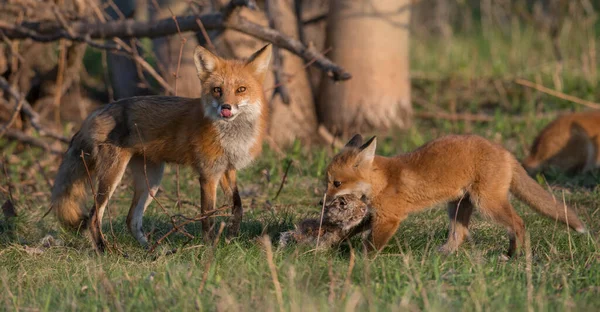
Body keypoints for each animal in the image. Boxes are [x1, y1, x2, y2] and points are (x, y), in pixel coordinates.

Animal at [50, 44, 274, 251]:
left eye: (241, 89)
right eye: (217, 90)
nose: (225, 107)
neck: (231, 136)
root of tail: (96, 112)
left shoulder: (227, 169)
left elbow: (238, 207)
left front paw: (231, 238)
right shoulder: (208, 174)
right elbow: (207, 216)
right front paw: (210, 248)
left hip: (151, 181)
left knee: (131, 219)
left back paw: (150, 251)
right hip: (112, 176)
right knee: (93, 217)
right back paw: (104, 250)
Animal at [324, 134, 584, 256]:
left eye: (336, 183)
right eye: (326, 182)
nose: (321, 201)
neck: (382, 181)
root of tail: (504, 151)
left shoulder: (389, 218)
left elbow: (371, 246)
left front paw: (360, 263)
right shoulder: (375, 214)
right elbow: (351, 231)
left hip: (486, 203)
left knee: (518, 223)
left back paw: (513, 255)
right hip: (458, 206)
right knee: (460, 235)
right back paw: (444, 254)